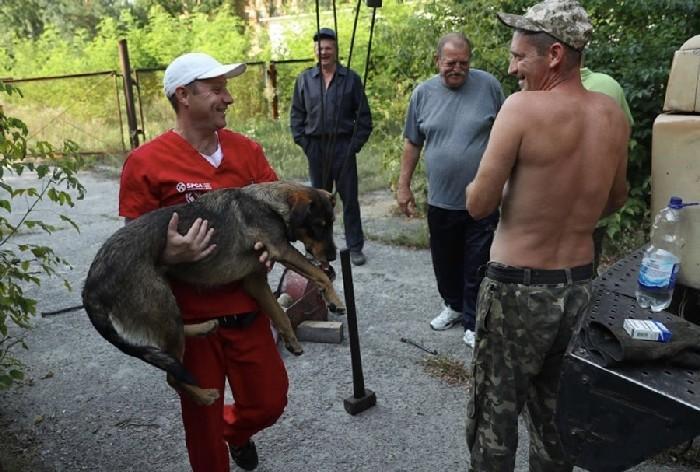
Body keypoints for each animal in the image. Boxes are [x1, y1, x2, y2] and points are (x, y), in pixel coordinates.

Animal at [82, 181, 344, 406]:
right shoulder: (282, 250)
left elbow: (280, 314)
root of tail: (91, 284)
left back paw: (203, 327)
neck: (268, 203)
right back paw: (204, 396)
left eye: (332, 224)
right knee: (172, 375)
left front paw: (291, 340)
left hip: (165, 299)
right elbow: (317, 274)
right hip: (161, 301)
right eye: (319, 225)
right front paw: (334, 299)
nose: (333, 257)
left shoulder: (255, 281)